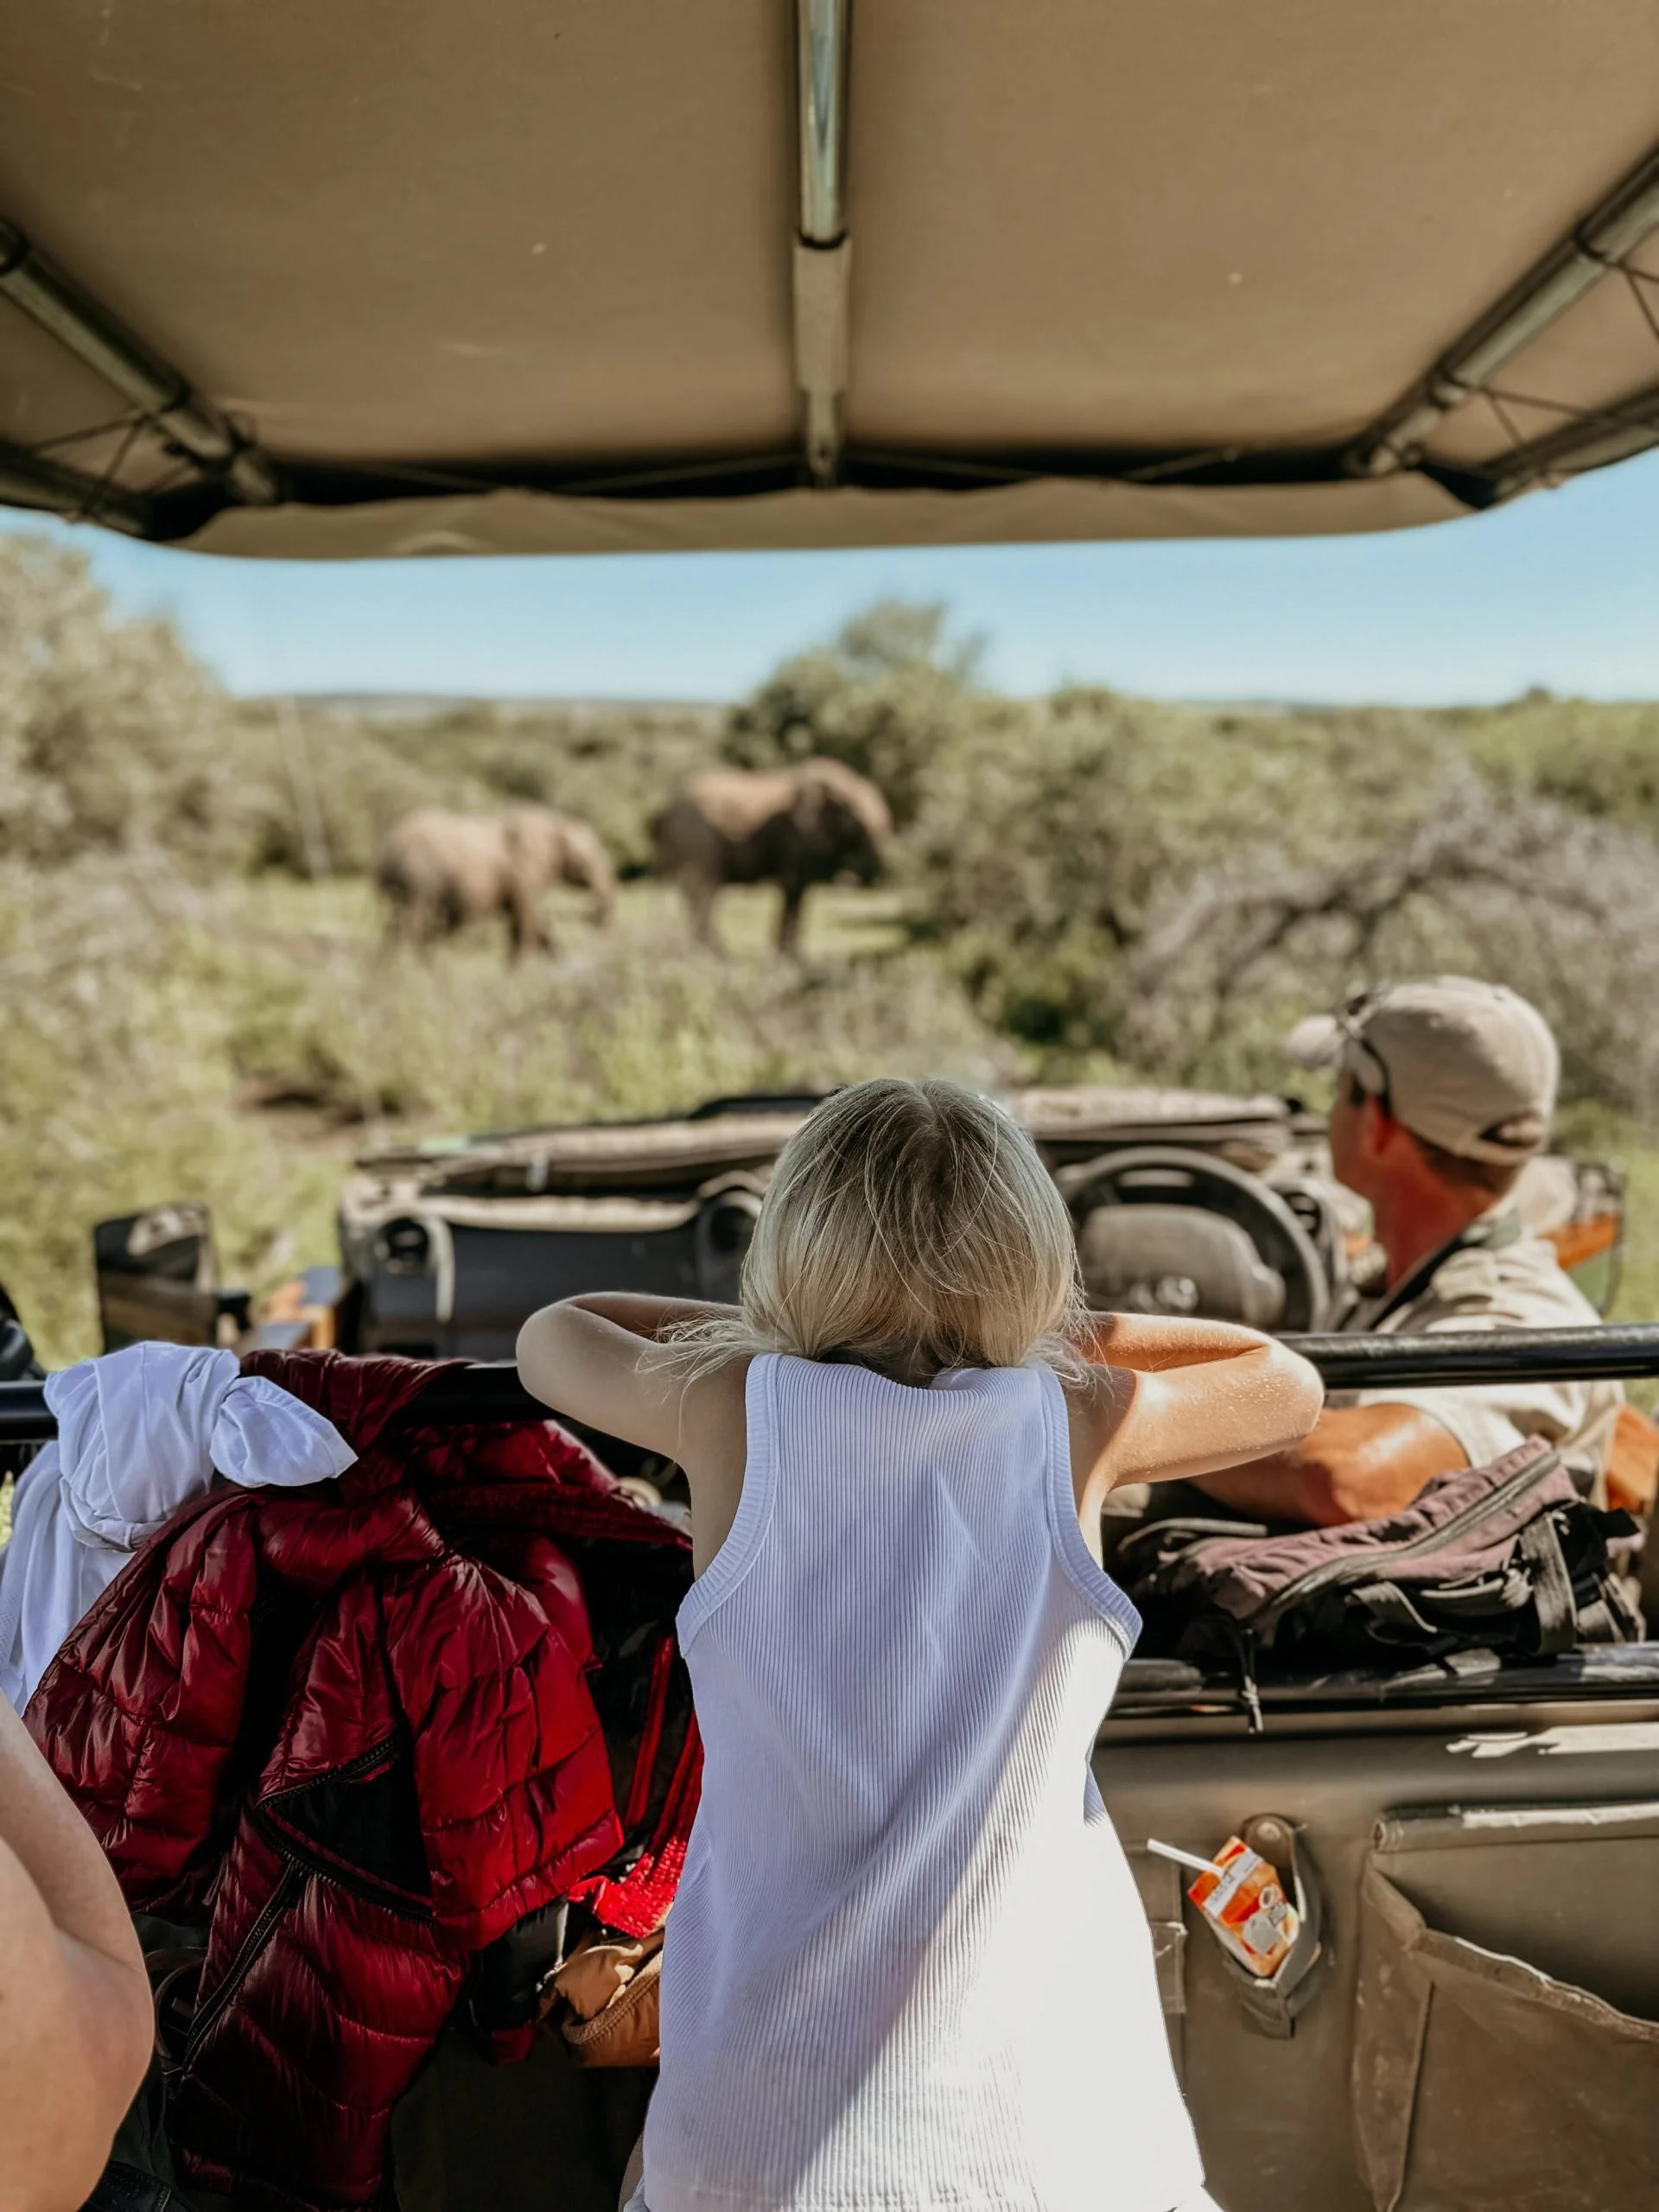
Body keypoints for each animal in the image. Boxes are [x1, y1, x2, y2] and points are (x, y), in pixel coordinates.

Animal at [377, 804, 617, 957]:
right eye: (591, 856)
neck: (554, 821)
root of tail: (389, 843)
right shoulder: (522, 873)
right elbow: (524, 925)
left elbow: (527, 927)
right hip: (418, 877)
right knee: (412, 923)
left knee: (396, 925)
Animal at [653, 757, 892, 955]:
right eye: (852, 811)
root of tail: (669, 809)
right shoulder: (794, 834)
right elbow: (793, 885)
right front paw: (788, 956)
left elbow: (800, 889)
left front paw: (793, 955)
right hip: (698, 840)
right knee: (703, 891)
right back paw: (713, 952)